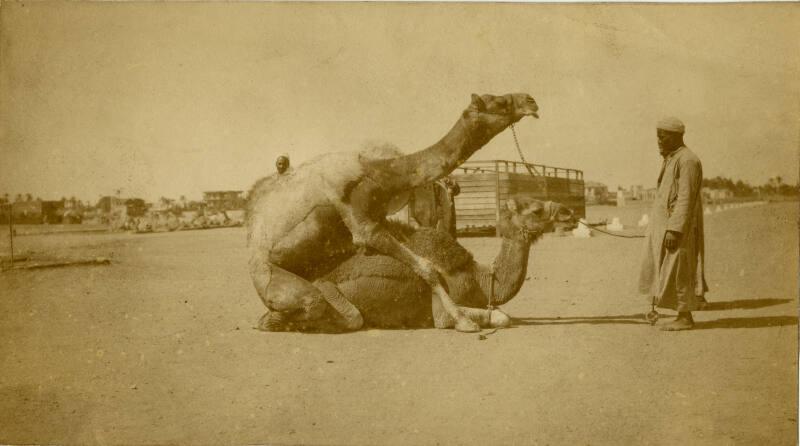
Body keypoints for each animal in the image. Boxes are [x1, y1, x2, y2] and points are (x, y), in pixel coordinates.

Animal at [246, 93, 539, 333]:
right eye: (499, 102)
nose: (530, 100)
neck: (380, 174)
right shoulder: (359, 219)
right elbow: (427, 267)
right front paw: (463, 321)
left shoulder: (380, 221)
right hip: (271, 280)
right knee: (316, 303)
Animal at [267, 197, 575, 332]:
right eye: (536, 209)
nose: (569, 212)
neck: (481, 278)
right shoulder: (442, 306)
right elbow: (500, 317)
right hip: (324, 289)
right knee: (351, 317)